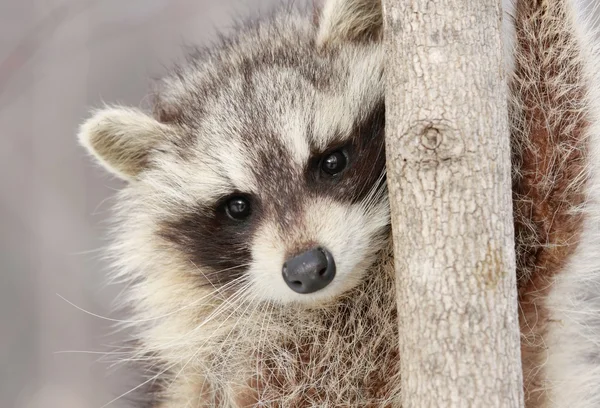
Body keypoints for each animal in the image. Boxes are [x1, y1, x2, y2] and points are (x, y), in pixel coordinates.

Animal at [78, 0, 600, 404]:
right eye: (237, 206)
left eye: (331, 161)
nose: (307, 268)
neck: (344, 300)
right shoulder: (236, 374)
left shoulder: (525, 247)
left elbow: (555, 167)